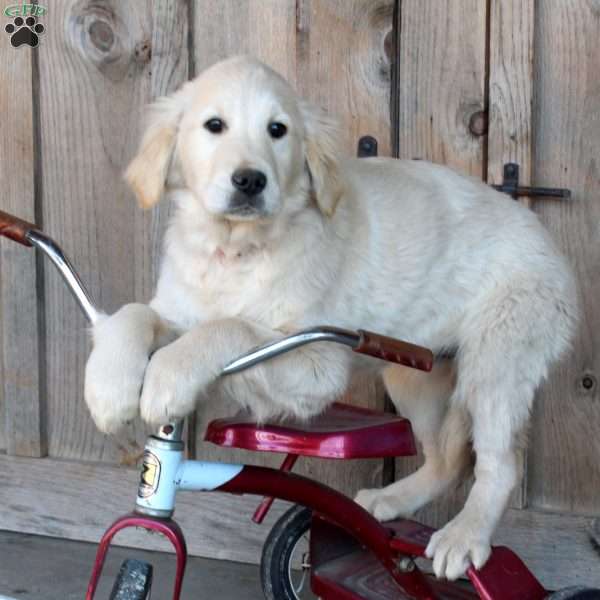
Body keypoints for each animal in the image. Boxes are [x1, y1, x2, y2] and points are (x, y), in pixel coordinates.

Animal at [84, 56, 576, 580]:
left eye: (277, 130)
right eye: (213, 125)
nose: (250, 181)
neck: (237, 250)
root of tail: (545, 235)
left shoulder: (317, 362)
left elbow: (230, 326)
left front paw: (168, 376)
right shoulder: (178, 310)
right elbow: (134, 314)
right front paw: (108, 385)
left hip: (498, 356)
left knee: (500, 462)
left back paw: (465, 536)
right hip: (415, 374)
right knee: (447, 459)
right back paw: (390, 500)